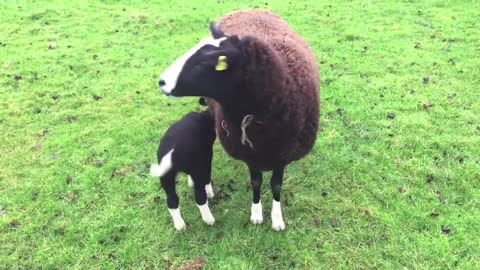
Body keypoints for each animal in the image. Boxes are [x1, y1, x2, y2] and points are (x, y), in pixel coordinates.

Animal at [158, 10, 320, 230]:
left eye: (205, 63)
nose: (162, 82)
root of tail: (251, 9)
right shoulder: (250, 155)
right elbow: (256, 182)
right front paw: (256, 214)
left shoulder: (284, 155)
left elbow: (276, 185)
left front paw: (277, 218)